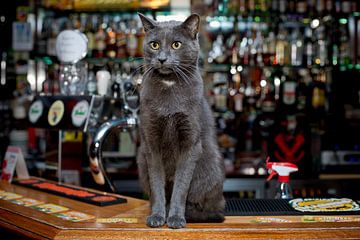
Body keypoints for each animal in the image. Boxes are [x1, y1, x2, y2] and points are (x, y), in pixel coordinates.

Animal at [137, 13, 225, 229]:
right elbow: (157, 183)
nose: (162, 58)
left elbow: (181, 186)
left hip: (210, 164)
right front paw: (158, 216)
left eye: (176, 44)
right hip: (141, 159)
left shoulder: (190, 143)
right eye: (154, 45)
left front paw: (176, 218)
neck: (169, 83)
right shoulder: (151, 143)